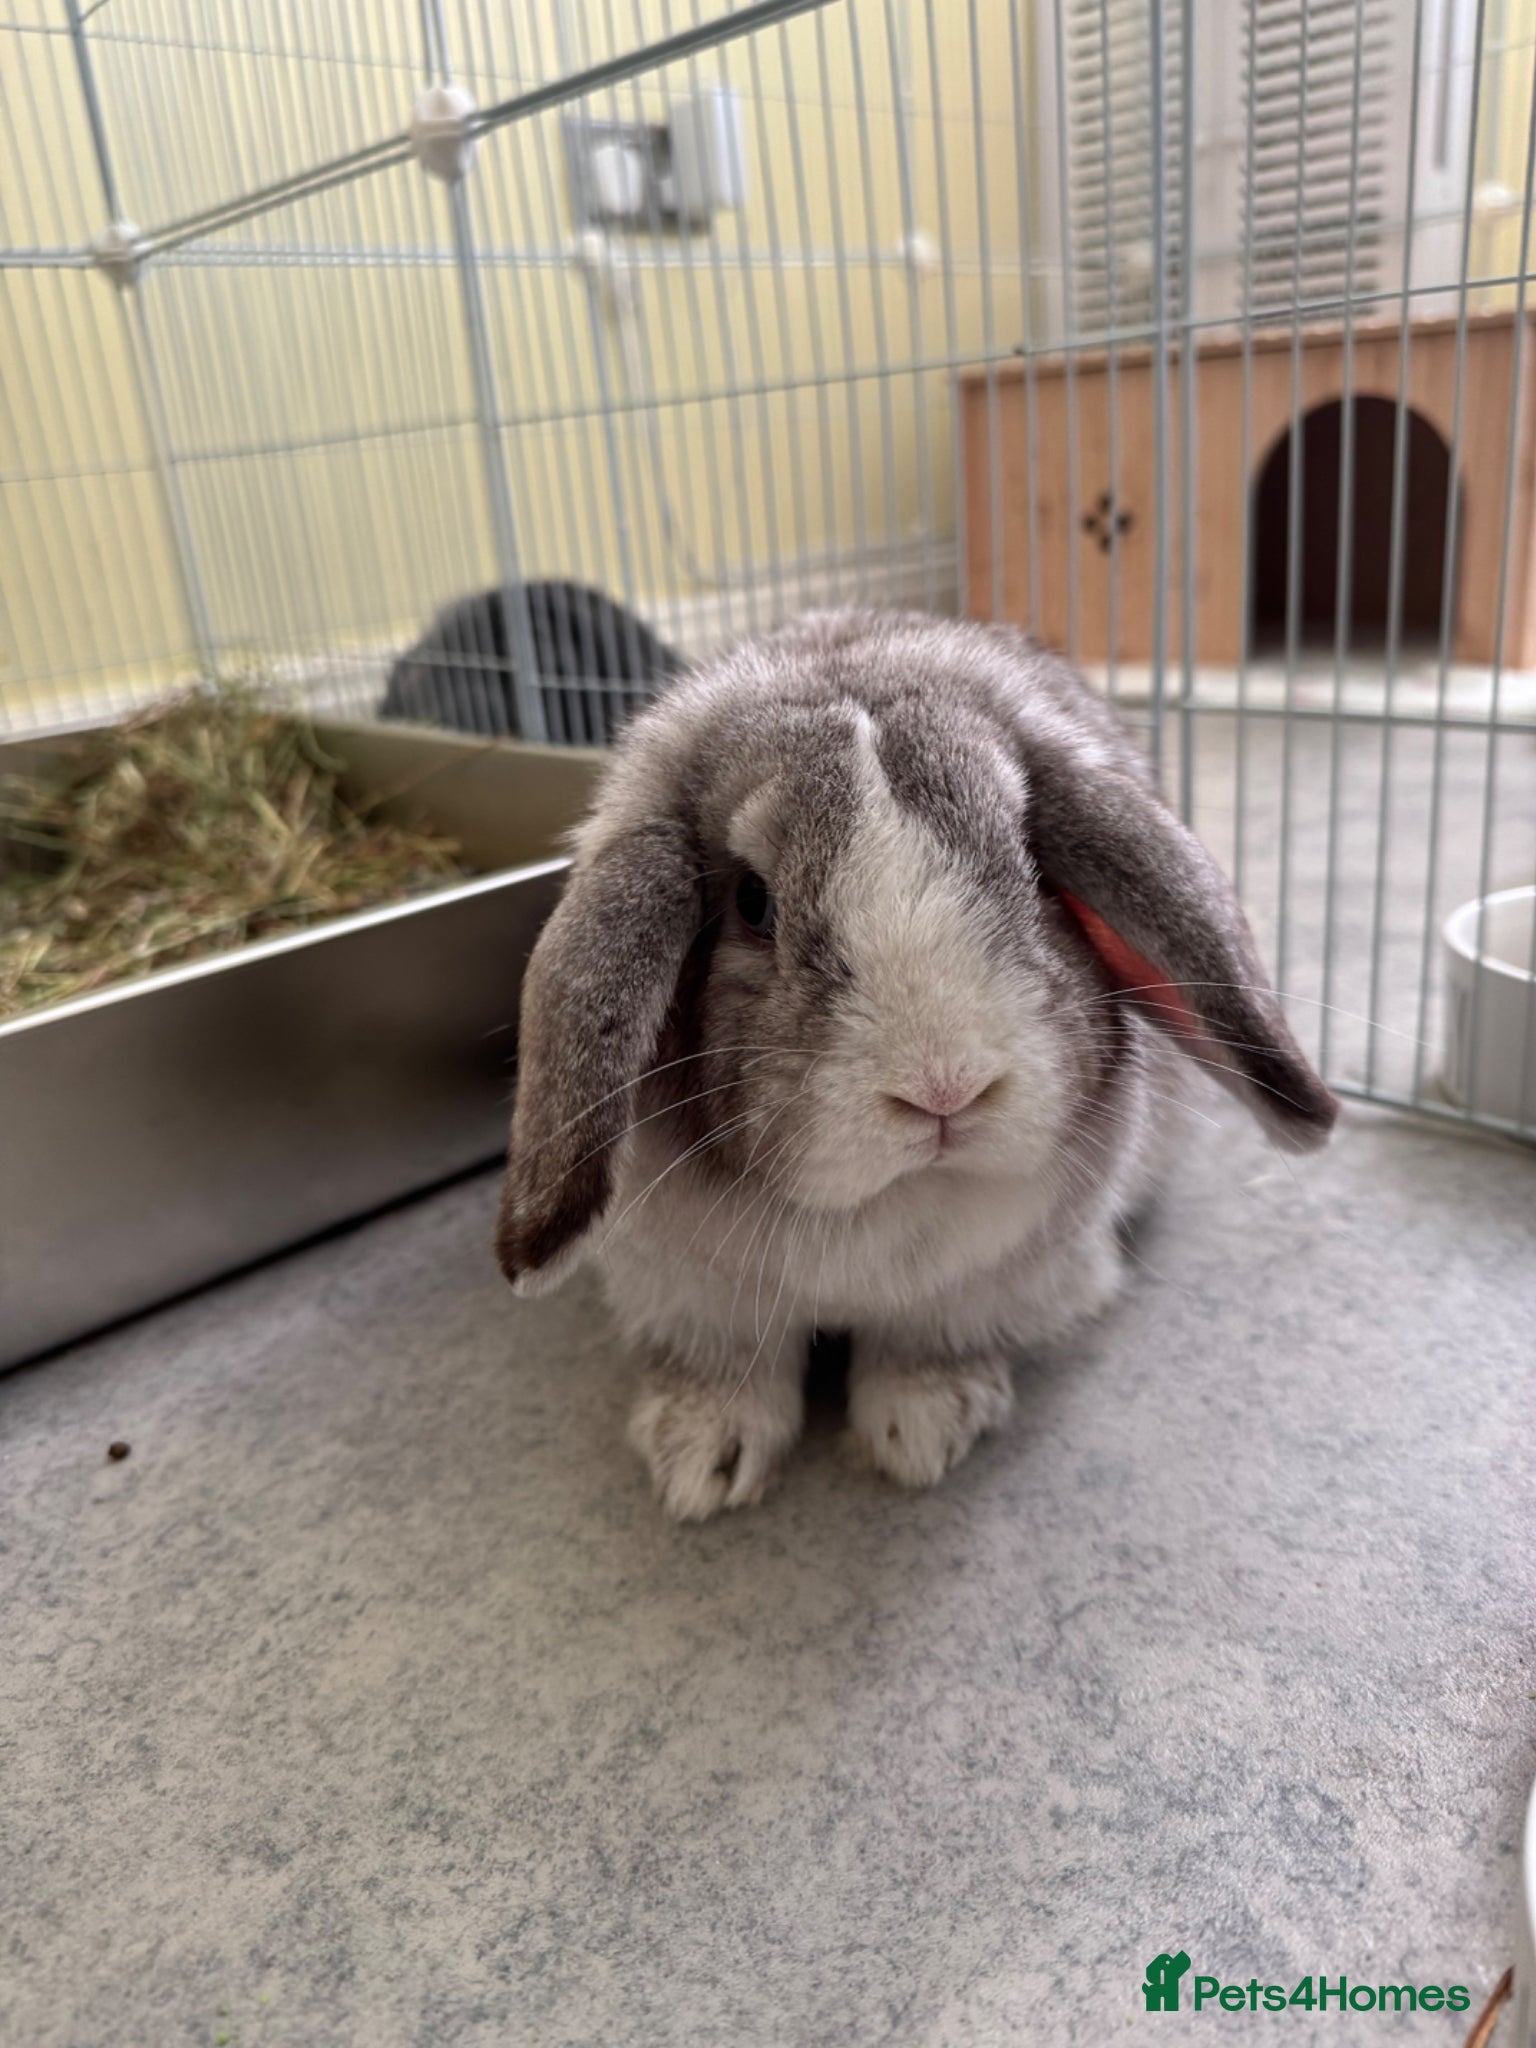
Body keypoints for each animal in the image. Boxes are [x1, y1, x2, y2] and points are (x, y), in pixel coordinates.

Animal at [496, 609, 1337, 1520]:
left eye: (1033, 871)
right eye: (753, 902)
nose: (946, 1090)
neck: (882, 1209)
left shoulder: (974, 1291)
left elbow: (926, 1349)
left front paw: (921, 1434)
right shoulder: (695, 1296)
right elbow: (727, 1371)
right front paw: (700, 1464)